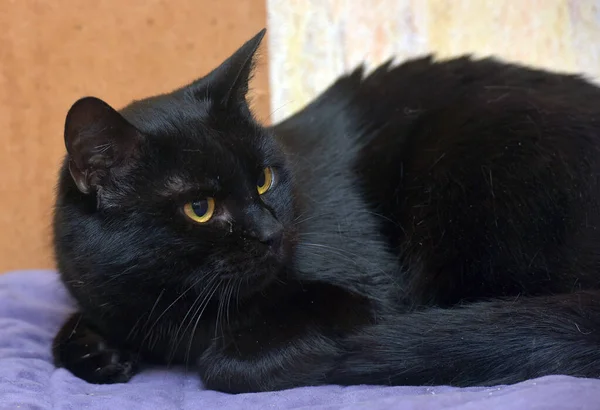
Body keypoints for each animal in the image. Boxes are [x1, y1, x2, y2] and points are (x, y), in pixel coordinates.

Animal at [51, 29, 600, 394]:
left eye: (263, 179)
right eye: (200, 208)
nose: (271, 233)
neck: (172, 309)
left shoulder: (368, 292)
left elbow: (227, 364)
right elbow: (67, 339)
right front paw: (98, 351)